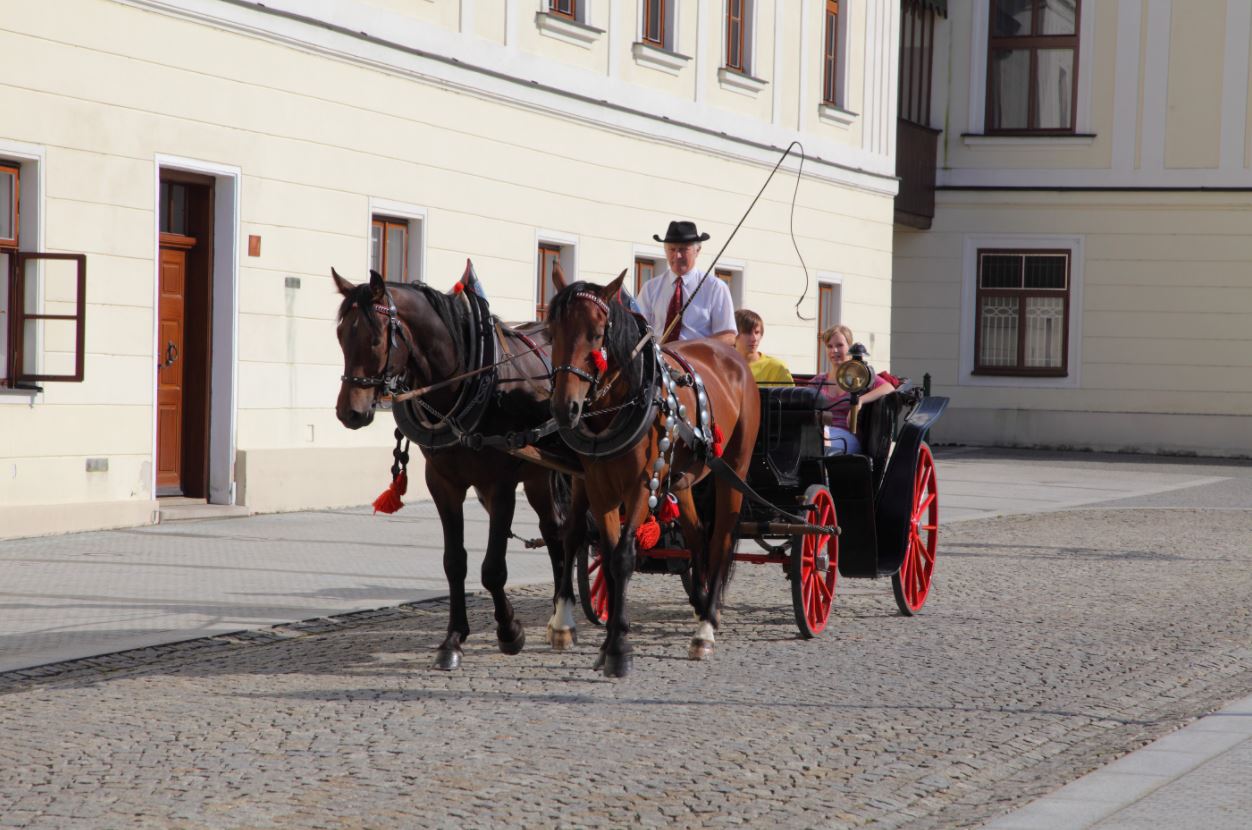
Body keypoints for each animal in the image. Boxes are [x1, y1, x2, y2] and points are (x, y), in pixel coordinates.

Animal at [335, 269, 583, 671]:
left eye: (374, 339)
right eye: (341, 335)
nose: (350, 413)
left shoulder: (500, 485)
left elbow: (493, 568)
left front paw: (509, 631)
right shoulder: (443, 483)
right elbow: (455, 562)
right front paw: (453, 639)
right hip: (537, 475)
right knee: (554, 530)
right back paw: (559, 615)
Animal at [543, 269, 756, 681]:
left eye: (597, 334)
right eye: (551, 331)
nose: (565, 408)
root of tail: (733, 357)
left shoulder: (642, 484)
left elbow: (624, 556)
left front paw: (618, 649)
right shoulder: (598, 486)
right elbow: (605, 554)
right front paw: (608, 638)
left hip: (733, 469)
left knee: (721, 539)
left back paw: (705, 628)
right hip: (683, 479)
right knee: (696, 535)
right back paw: (700, 603)